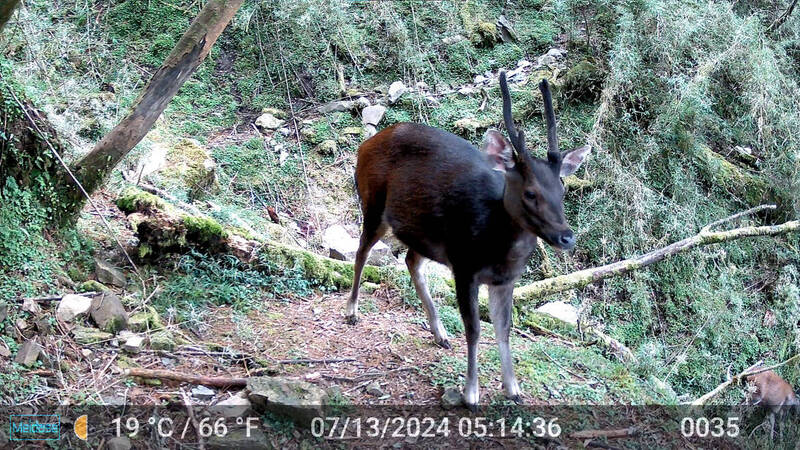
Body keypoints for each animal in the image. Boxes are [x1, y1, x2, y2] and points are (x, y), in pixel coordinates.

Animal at [346, 71, 591, 408]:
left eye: (563, 190)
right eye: (531, 193)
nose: (566, 237)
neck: (494, 247)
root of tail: (364, 145)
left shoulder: (505, 280)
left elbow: (504, 328)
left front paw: (513, 389)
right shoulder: (464, 267)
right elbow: (474, 330)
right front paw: (470, 393)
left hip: (426, 235)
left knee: (411, 260)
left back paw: (439, 333)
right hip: (373, 203)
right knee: (361, 251)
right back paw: (352, 312)